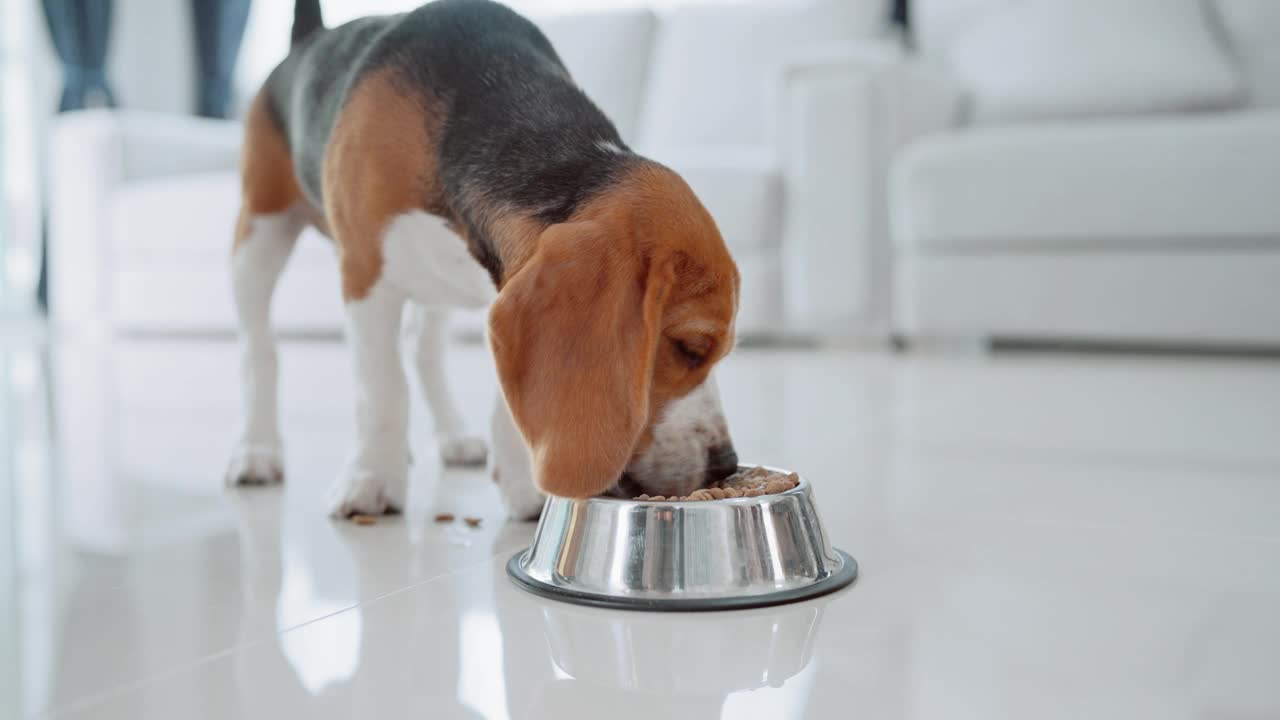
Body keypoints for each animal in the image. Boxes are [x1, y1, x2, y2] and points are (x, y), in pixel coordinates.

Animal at [224, 0, 737, 517]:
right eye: (689, 347)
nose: (725, 466)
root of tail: (309, 38)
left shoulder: (506, 292)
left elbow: (504, 402)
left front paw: (524, 488)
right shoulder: (366, 275)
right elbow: (382, 387)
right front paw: (372, 480)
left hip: (434, 283)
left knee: (424, 351)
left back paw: (453, 438)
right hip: (259, 236)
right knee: (258, 350)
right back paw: (256, 452)